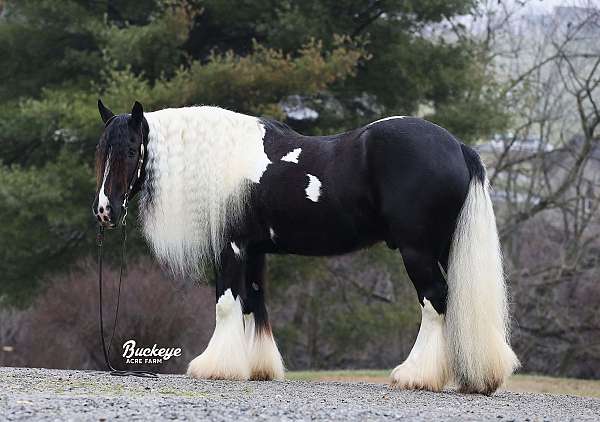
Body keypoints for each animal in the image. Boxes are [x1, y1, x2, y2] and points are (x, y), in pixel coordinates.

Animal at [91, 99, 516, 396]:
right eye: (101, 153)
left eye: (129, 151)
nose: (105, 211)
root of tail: (458, 146)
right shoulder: (255, 251)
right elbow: (253, 304)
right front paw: (258, 368)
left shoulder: (231, 248)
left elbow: (227, 303)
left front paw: (215, 366)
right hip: (445, 247)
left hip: (418, 251)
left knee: (435, 301)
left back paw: (415, 375)